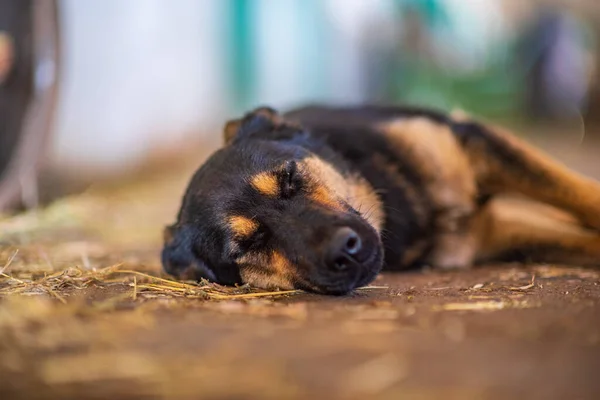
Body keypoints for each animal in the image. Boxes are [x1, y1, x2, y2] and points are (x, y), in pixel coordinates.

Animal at [159, 104, 600, 296]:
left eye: (290, 178)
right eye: (250, 243)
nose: (344, 250)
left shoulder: (474, 139)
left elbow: (580, 193)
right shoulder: (491, 236)